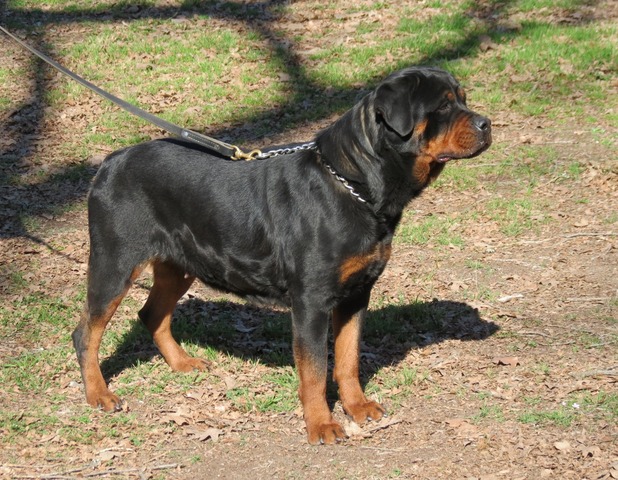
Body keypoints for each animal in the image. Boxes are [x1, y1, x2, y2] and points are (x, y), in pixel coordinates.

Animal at [72, 65, 488, 444]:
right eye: (443, 105)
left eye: (463, 98)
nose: (487, 123)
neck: (354, 182)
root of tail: (109, 163)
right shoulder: (311, 302)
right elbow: (315, 371)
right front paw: (321, 425)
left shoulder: (356, 294)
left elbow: (348, 358)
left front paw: (357, 406)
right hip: (116, 262)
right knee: (86, 332)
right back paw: (99, 394)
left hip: (178, 264)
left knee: (152, 313)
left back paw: (182, 362)